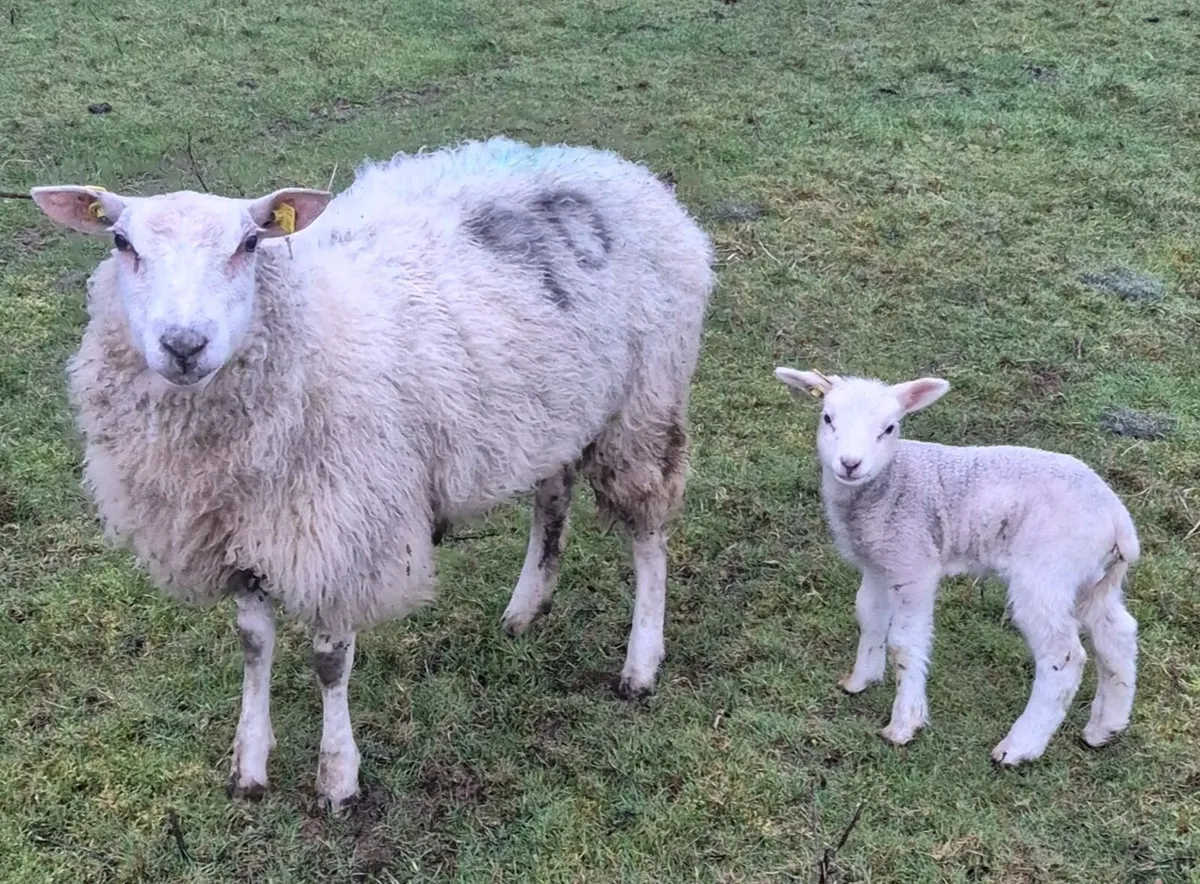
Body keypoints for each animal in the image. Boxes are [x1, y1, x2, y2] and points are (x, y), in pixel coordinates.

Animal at [29, 136, 714, 810]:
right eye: (122, 243)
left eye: (249, 243)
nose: (184, 345)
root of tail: (618, 168)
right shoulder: (240, 531)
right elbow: (253, 644)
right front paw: (249, 763)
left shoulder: (344, 529)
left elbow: (330, 663)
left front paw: (338, 778)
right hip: (555, 407)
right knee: (552, 496)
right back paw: (526, 608)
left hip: (645, 401)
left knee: (648, 533)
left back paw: (640, 664)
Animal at [774, 366, 1140, 766]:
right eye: (827, 417)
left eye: (889, 428)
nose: (850, 464)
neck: (890, 485)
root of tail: (1118, 520)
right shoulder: (878, 561)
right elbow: (868, 616)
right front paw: (861, 680)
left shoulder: (914, 563)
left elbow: (904, 643)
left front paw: (904, 724)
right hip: (1093, 578)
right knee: (1117, 635)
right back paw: (1104, 728)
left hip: (1047, 569)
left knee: (1064, 657)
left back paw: (1018, 747)